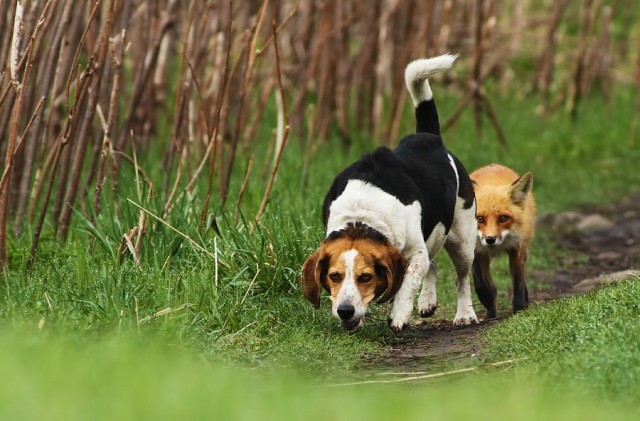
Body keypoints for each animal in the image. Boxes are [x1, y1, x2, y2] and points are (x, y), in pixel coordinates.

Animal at [470, 164, 536, 318]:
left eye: (503, 218)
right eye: (479, 219)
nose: (490, 239)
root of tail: (493, 165)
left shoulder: (517, 248)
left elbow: (518, 280)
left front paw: (519, 308)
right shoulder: (473, 249)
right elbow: (479, 282)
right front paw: (487, 299)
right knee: (490, 284)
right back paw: (490, 311)